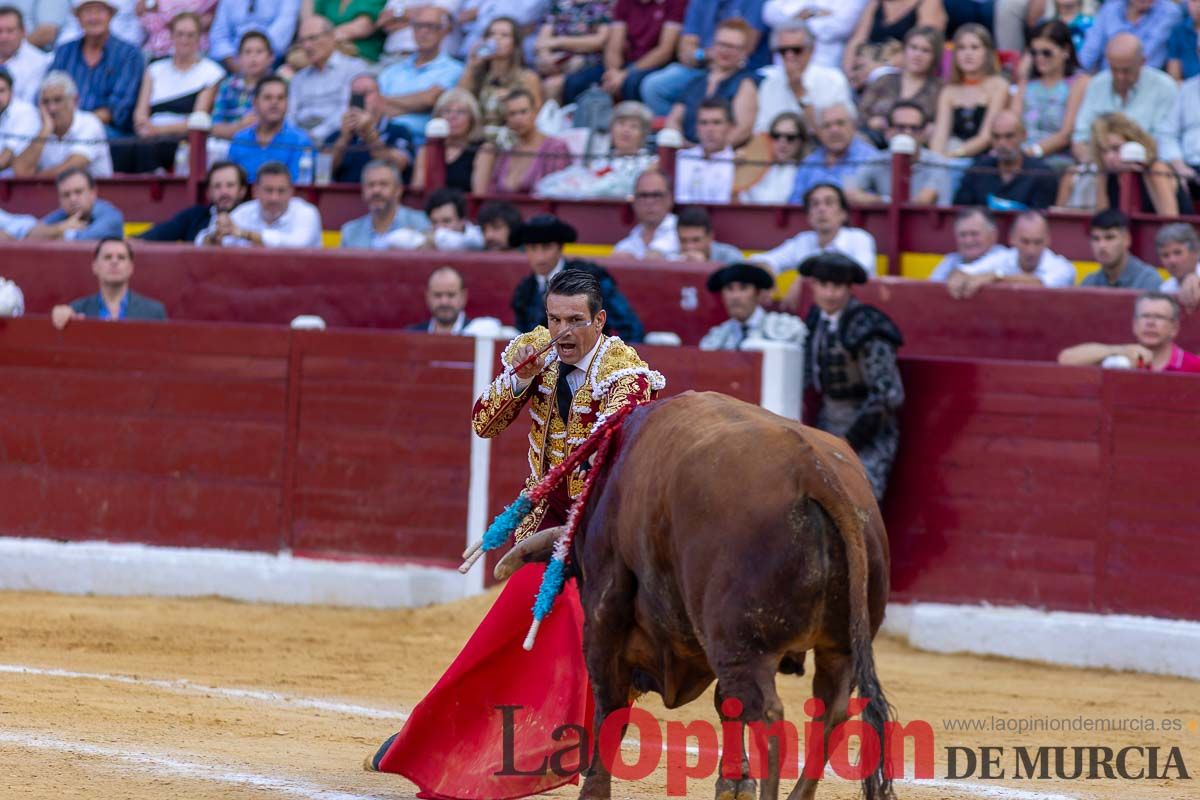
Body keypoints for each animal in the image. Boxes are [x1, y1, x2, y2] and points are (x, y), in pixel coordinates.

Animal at [496, 391, 892, 796]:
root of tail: (814, 470)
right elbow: (725, 703)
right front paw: (735, 782)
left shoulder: (606, 610)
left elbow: (610, 705)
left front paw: (593, 792)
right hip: (834, 647)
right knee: (831, 712)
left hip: (744, 645)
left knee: (769, 716)